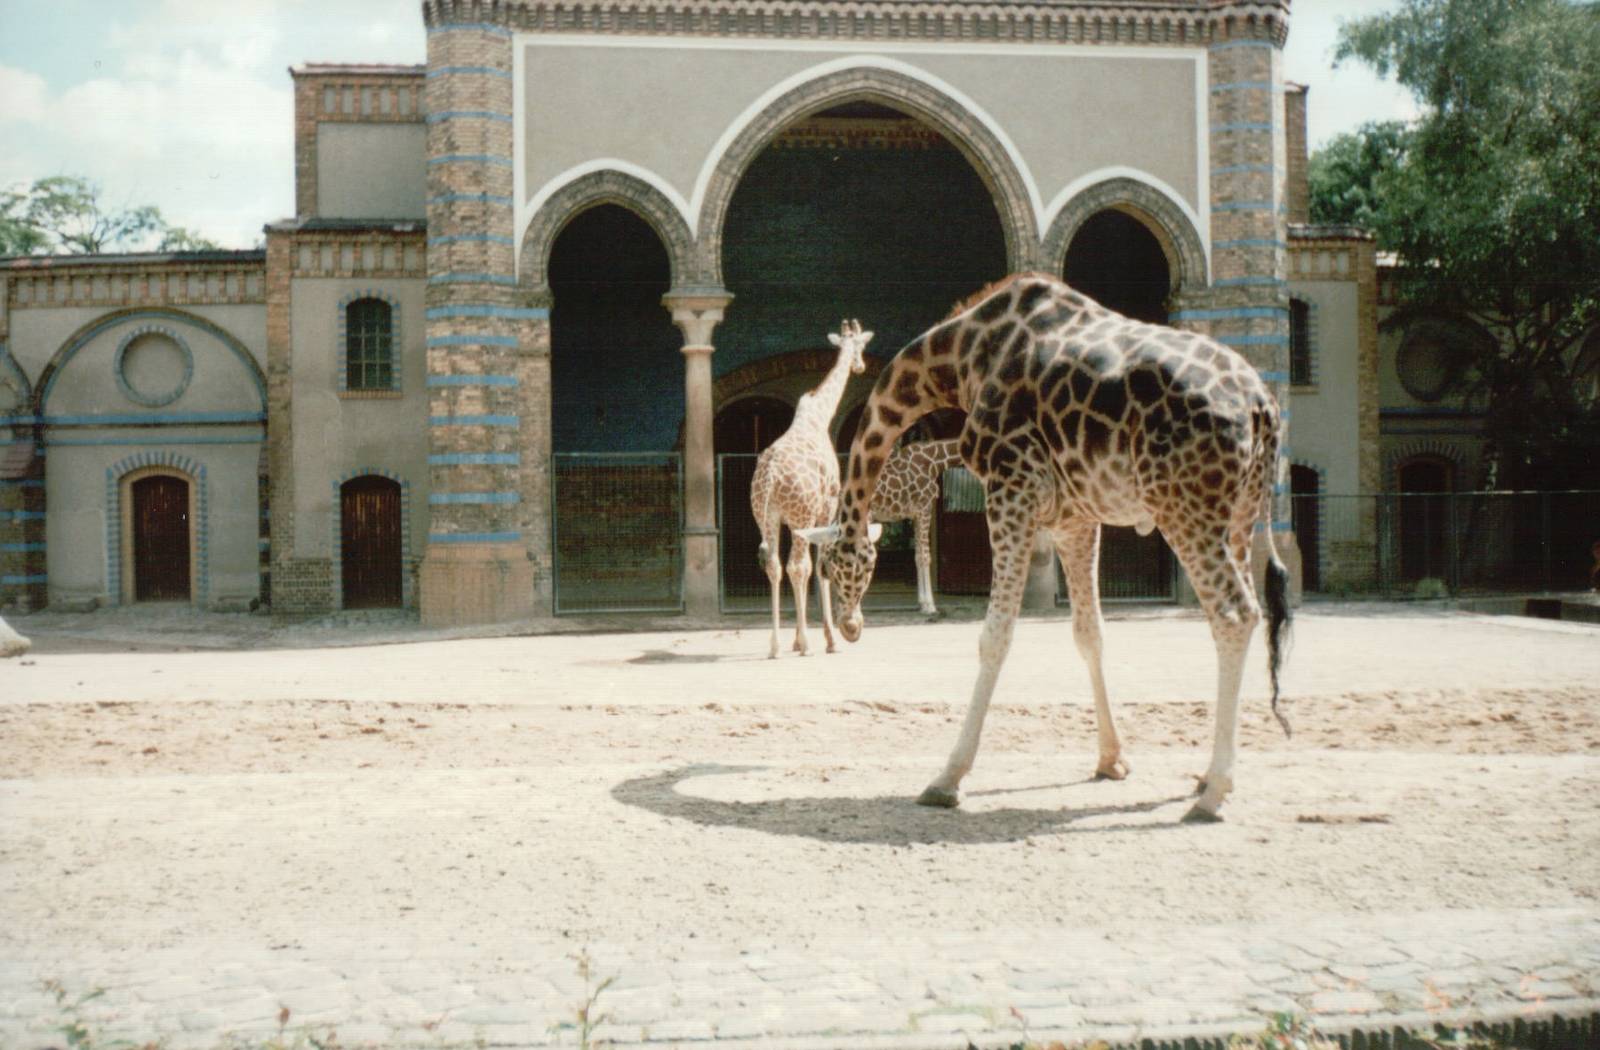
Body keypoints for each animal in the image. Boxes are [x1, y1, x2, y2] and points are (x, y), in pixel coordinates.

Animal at [749, 320, 875, 659]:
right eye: (860, 345)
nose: (861, 366)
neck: (819, 415)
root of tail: (769, 477)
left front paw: (795, 639)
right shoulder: (827, 508)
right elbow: (820, 568)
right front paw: (829, 640)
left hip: (766, 517)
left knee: (775, 566)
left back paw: (776, 645)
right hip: (800, 516)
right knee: (798, 566)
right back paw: (805, 644)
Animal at [871, 438, 964, 615]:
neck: (935, 461)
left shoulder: (915, 515)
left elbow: (917, 556)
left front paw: (921, 602)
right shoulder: (925, 509)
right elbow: (925, 557)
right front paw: (930, 605)